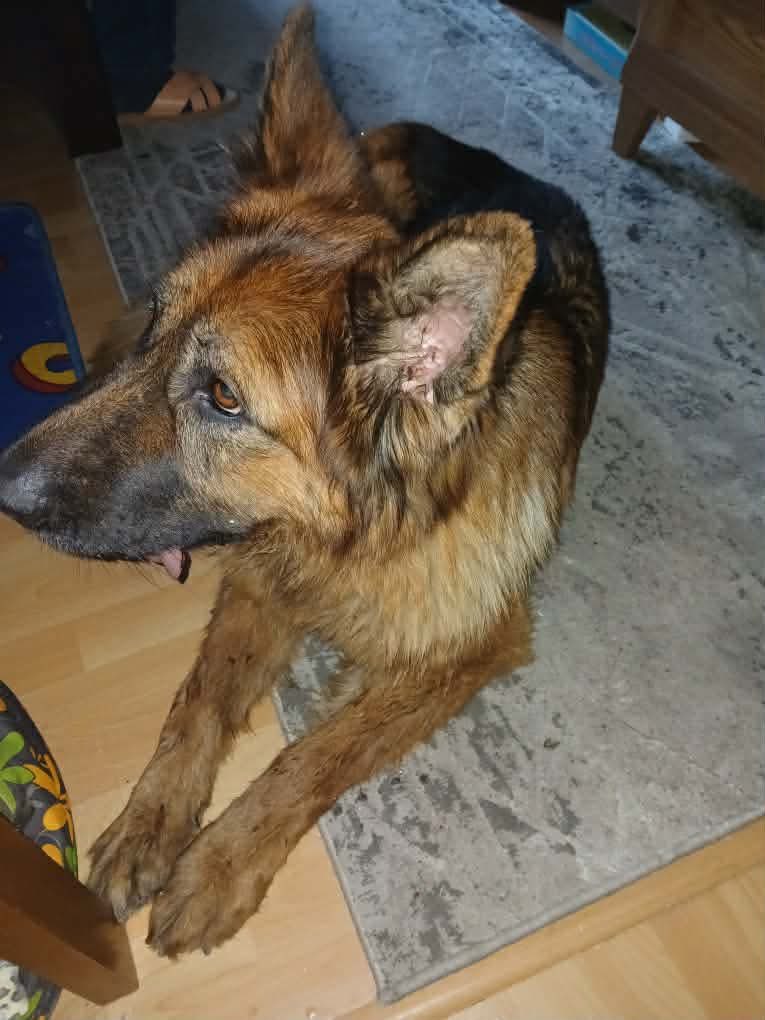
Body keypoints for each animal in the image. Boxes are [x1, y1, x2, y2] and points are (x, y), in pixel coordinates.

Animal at [0, 5, 608, 956]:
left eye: (222, 397)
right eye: (155, 326)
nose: (4, 487)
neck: (351, 543)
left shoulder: (471, 649)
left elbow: (316, 754)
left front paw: (216, 866)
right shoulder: (259, 579)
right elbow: (198, 699)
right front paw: (149, 823)